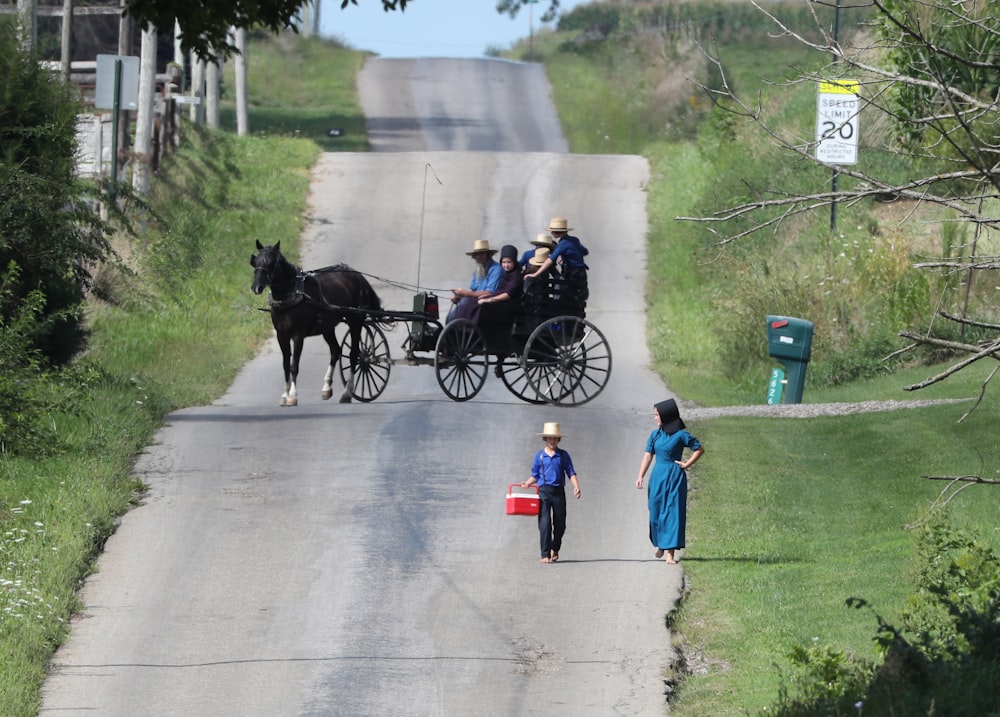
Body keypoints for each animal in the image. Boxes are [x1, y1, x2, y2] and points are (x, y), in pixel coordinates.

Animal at [252, 241, 384, 406]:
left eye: (271, 263)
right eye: (255, 261)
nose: (256, 287)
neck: (291, 293)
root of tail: (357, 275)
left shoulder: (298, 335)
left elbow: (294, 365)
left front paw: (292, 396)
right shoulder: (281, 335)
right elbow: (285, 365)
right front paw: (284, 395)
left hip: (355, 321)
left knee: (354, 354)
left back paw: (347, 393)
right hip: (327, 327)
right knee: (335, 350)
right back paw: (327, 388)